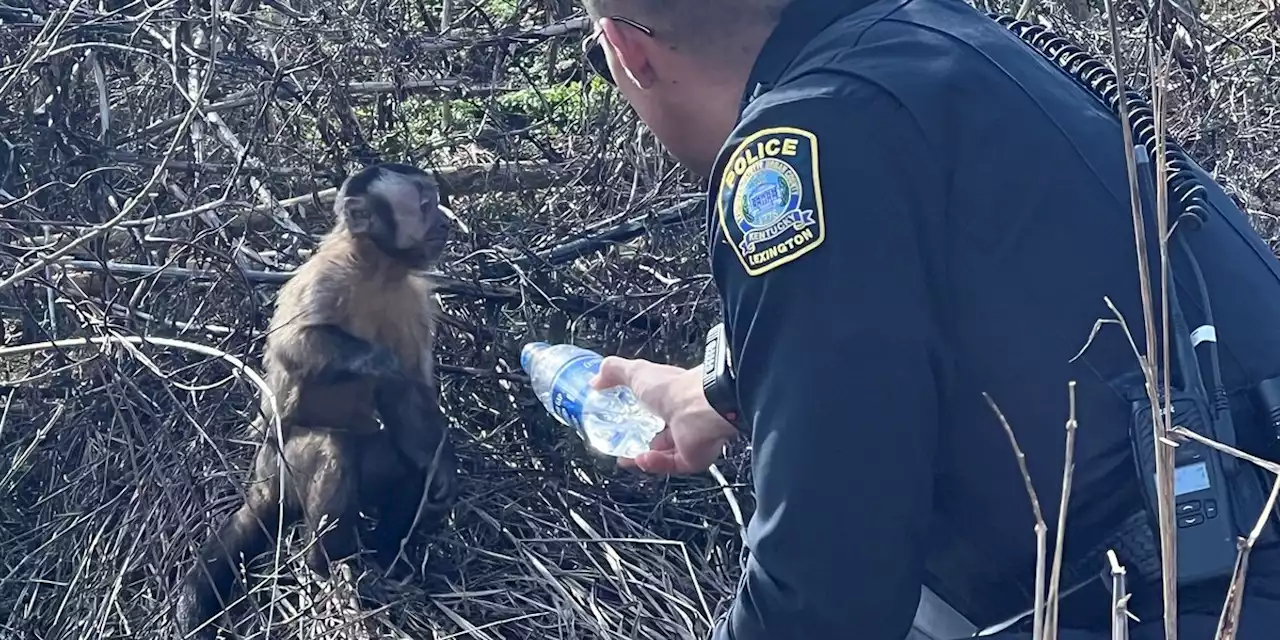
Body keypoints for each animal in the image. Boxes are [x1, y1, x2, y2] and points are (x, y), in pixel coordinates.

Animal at [177, 162, 460, 637]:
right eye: (424, 206)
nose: (443, 223)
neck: (378, 271)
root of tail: (261, 482)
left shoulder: (414, 299)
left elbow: (409, 397)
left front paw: (441, 471)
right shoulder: (326, 276)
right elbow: (294, 346)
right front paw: (378, 360)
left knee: (399, 464)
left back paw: (387, 558)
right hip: (281, 469)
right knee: (332, 448)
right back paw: (326, 562)